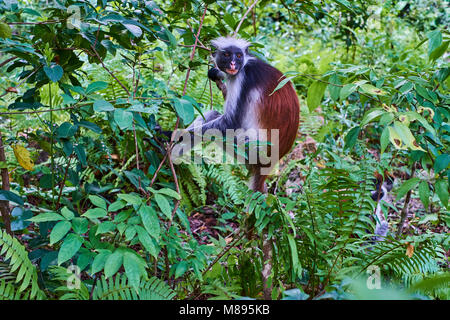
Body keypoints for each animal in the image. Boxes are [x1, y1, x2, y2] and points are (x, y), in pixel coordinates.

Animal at [185, 37, 300, 192]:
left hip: (250, 149)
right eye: (227, 55)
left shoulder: (243, 79)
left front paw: (171, 134)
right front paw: (216, 72)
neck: (245, 66)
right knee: (212, 114)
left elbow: (231, 122)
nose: (233, 63)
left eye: (239, 56)